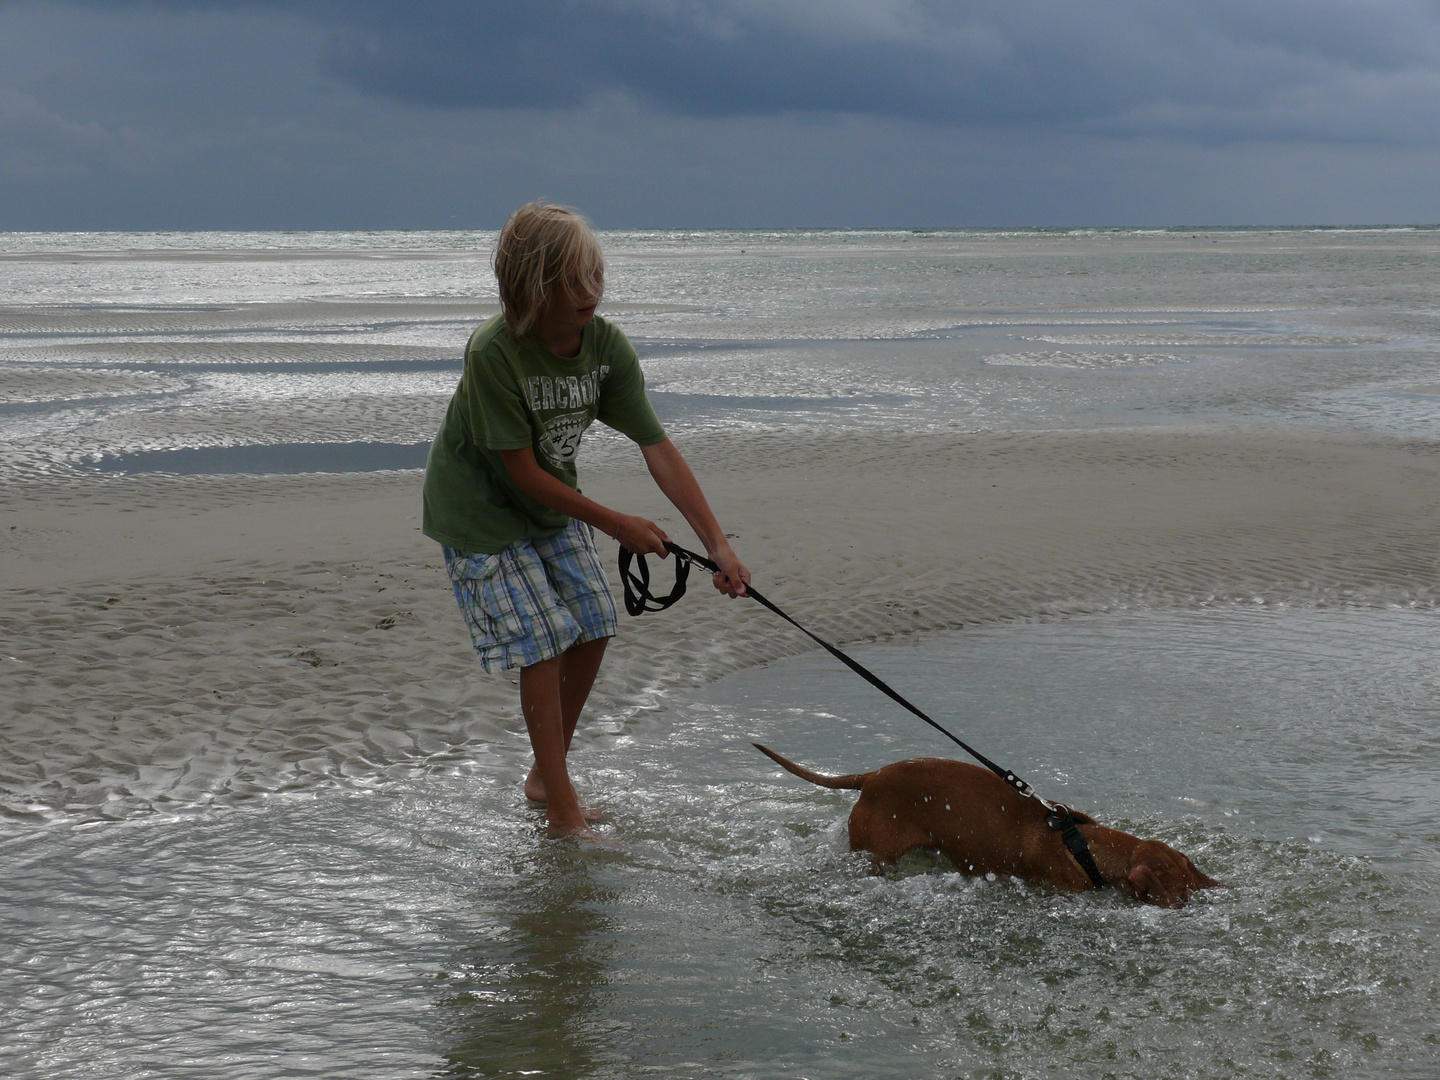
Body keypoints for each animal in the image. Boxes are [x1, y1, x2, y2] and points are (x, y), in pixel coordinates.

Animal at [754, 743, 1226, 904]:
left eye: (1189, 879)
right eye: (1179, 890)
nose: (1190, 905)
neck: (1085, 846)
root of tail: (870, 777)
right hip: (874, 854)